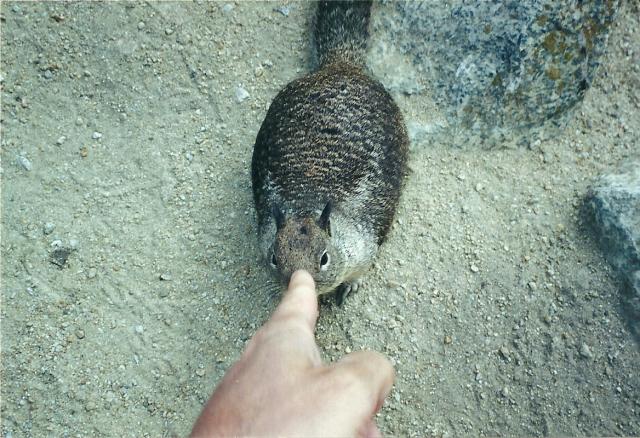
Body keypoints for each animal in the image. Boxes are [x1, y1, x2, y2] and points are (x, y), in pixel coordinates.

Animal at [251, 0, 408, 305]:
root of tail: (341, 63)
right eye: (275, 258)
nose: (294, 284)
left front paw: (351, 285)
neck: (306, 203)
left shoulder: (364, 245)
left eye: (324, 258)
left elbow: (361, 269)